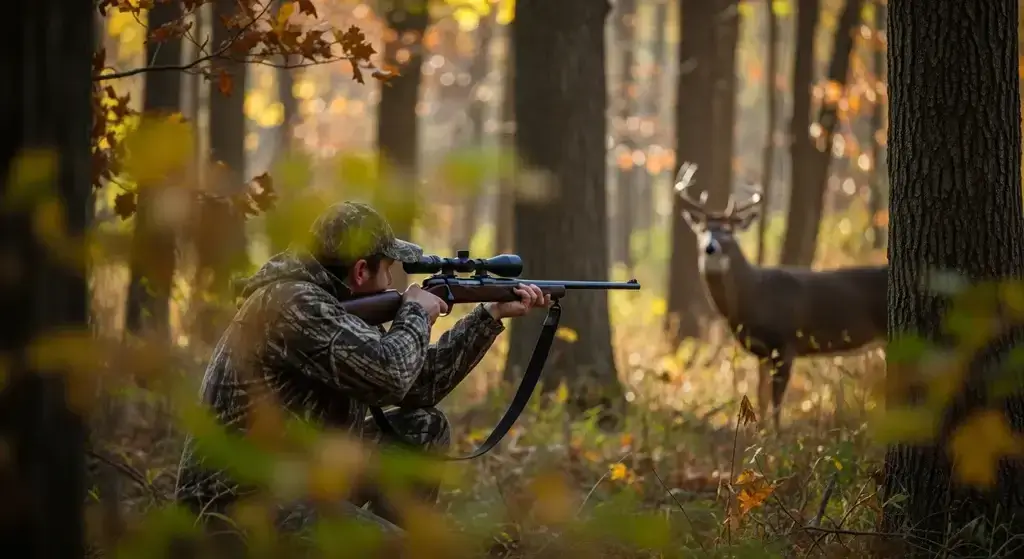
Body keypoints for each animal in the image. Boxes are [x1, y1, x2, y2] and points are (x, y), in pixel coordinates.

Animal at [672, 163, 887, 430]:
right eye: (702, 230)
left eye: (728, 231)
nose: (710, 247)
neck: (754, 297)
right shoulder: (762, 353)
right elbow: (761, 397)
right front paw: (759, 432)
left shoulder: (786, 343)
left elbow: (777, 402)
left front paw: (775, 436)